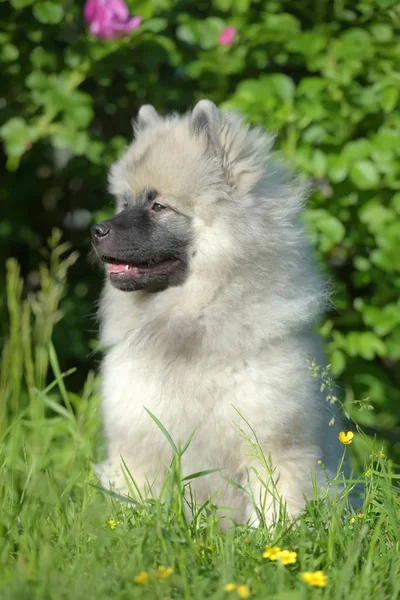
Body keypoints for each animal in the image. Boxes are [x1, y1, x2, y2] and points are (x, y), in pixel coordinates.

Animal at [92, 101, 342, 524]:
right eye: (124, 203)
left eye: (158, 206)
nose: (96, 230)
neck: (193, 318)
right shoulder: (140, 445)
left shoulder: (273, 446)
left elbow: (277, 511)